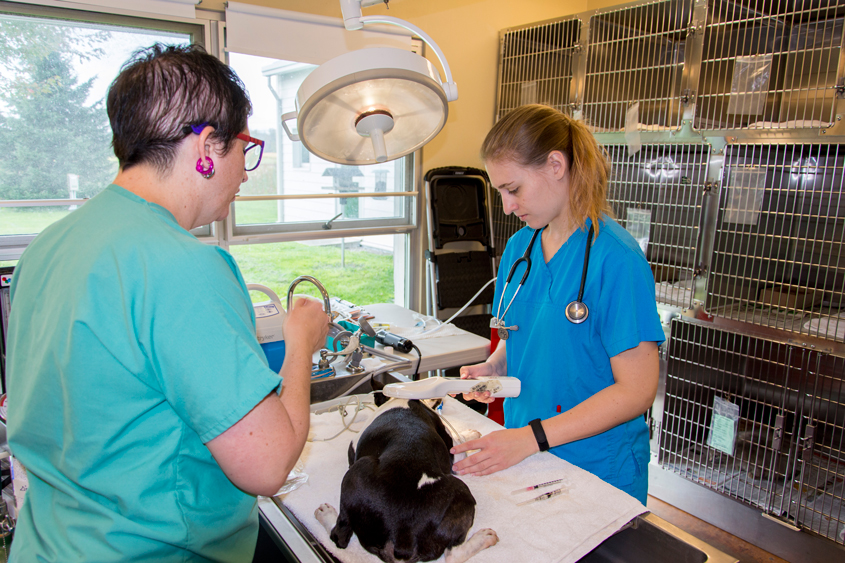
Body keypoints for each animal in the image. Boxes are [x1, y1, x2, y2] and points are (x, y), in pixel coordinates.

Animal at [316, 398, 502, 563]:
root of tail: (400, 539)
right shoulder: (455, 454)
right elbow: (461, 440)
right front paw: (471, 434)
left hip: (354, 475)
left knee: (340, 535)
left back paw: (324, 513)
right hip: (461, 494)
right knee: (452, 556)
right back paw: (484, 538)